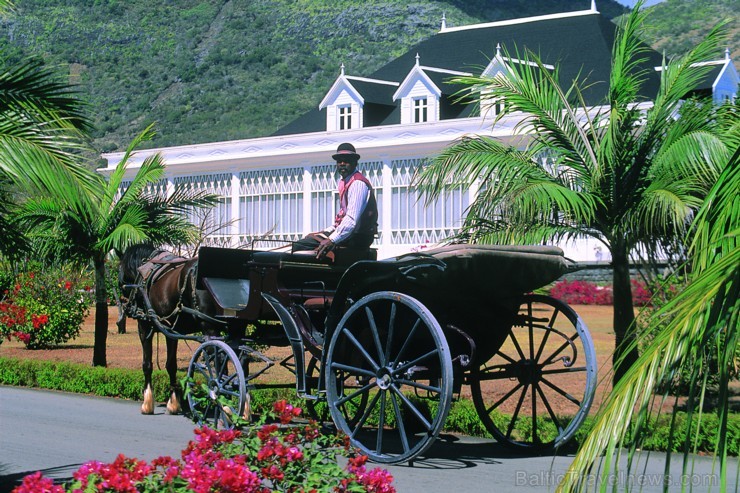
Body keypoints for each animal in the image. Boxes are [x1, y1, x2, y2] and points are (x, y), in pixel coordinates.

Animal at [117, 242, 223, 416]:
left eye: (120, 277)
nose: (126, 304)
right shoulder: (173, 331)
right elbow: (170, 365)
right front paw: (174, 401)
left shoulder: (146, 328)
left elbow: (150, 364)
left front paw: (149, 402)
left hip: (209, 328)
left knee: (220, 360)